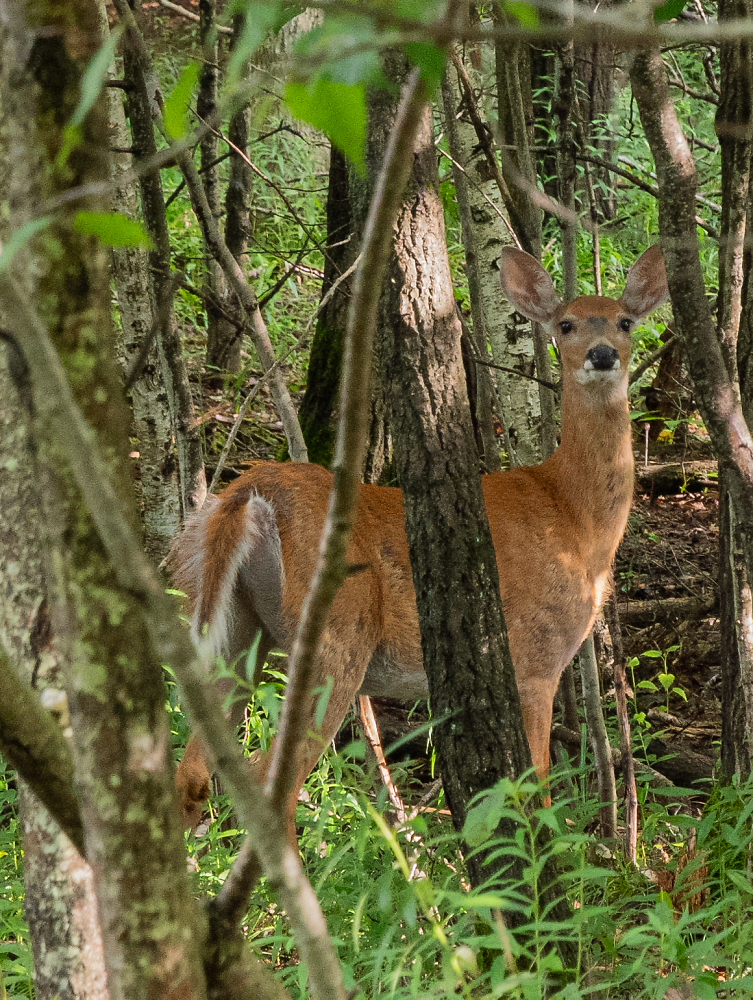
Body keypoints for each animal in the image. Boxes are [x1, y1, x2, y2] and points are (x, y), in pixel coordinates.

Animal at [171, 244, 668, 838]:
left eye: (624, 321)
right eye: (566, 324)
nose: (602, 354)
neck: (574, 518)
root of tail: (251, 492)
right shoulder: (536, 656)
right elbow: (536, 787)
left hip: (239, 625)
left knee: (193, 772)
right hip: (336, 632)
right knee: (272, 779)